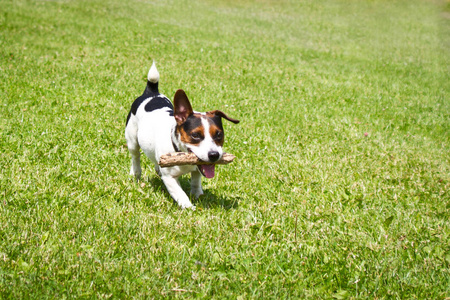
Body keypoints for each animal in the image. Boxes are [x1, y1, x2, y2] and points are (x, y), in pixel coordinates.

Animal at [125, 62, 239, 210]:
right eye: (195, 135)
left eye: (219, 134)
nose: (214, 155)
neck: (179, 151)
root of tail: (151, 93)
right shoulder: (170, 178)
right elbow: (180, 194)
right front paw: (189, 207)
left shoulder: (197, 169)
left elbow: (196, 181)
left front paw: (198, 195)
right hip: (132, 140)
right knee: (135, 156)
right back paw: (135, 172)